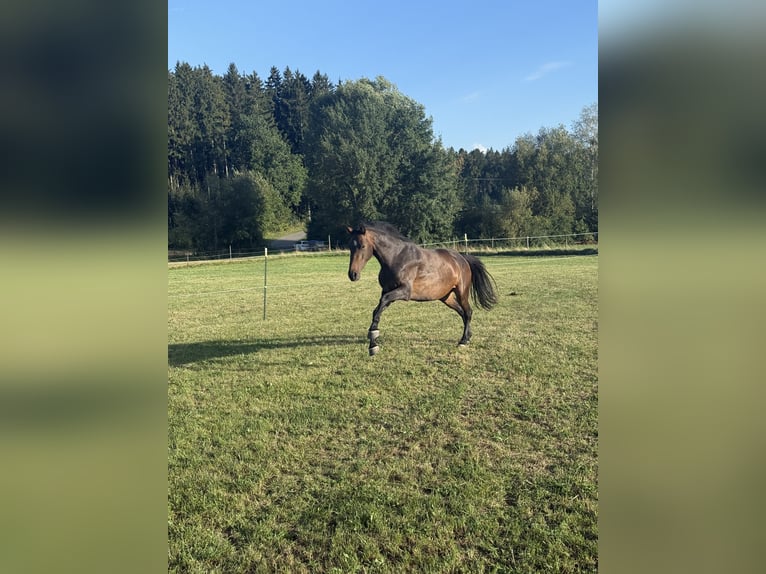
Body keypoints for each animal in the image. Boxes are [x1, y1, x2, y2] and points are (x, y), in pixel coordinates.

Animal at [345, 221, 498, 355]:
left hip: (461, 293)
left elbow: (381, 304)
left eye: (362, 246)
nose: (353, 274)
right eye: (350, 246)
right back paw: (468, 336)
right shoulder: (388, 292)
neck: (396, 257)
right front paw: (373, 340)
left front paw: (373, 343)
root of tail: (462, 259)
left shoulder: (404, 292)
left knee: (468, 312)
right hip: (446, 297)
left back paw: (464, 340)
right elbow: (377, 309)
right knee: (462, 312)